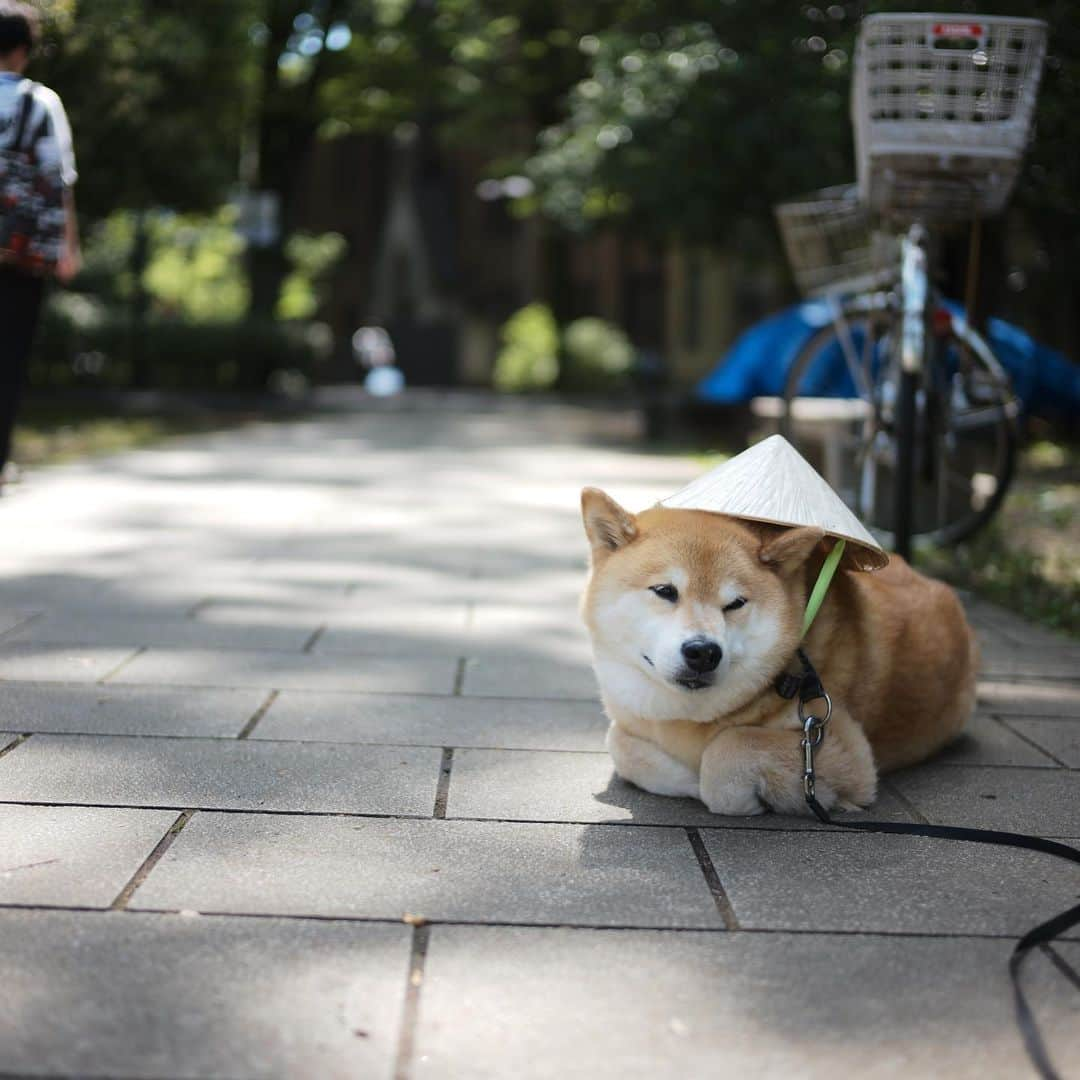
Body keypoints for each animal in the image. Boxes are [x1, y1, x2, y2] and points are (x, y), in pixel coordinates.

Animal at [583, 488, 980, 812]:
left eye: (735, 603)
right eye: (665, 591)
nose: (703, 651)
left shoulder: (837, 747)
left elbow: (724, 753)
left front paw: (721, 788)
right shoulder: (629, 722)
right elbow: (620, 743)